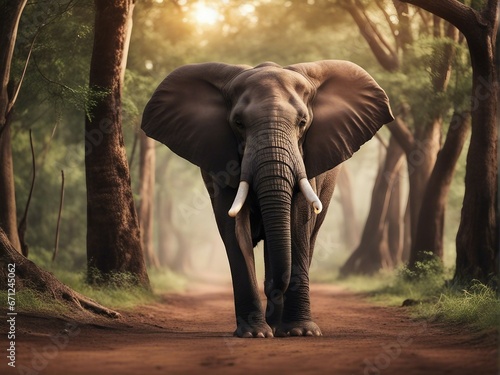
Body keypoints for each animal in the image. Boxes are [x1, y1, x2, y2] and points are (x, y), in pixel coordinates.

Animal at [142, 61, 394, 338]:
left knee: (308, 238)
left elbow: (298, 224)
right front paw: (255, 334)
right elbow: (235, 229)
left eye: (303, 122)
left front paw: (300, 332)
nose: (273, 285)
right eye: (238, 123)